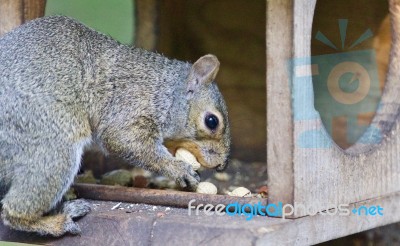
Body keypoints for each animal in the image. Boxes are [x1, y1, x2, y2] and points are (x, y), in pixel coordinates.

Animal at [0, 15, 231, 236]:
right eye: (212, 121)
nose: (222, 164)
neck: (164, 91)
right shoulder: (129, 105)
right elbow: (124, 140)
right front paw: (178, 169)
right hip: (52, 145)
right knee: (13, 212)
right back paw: (57, 222)